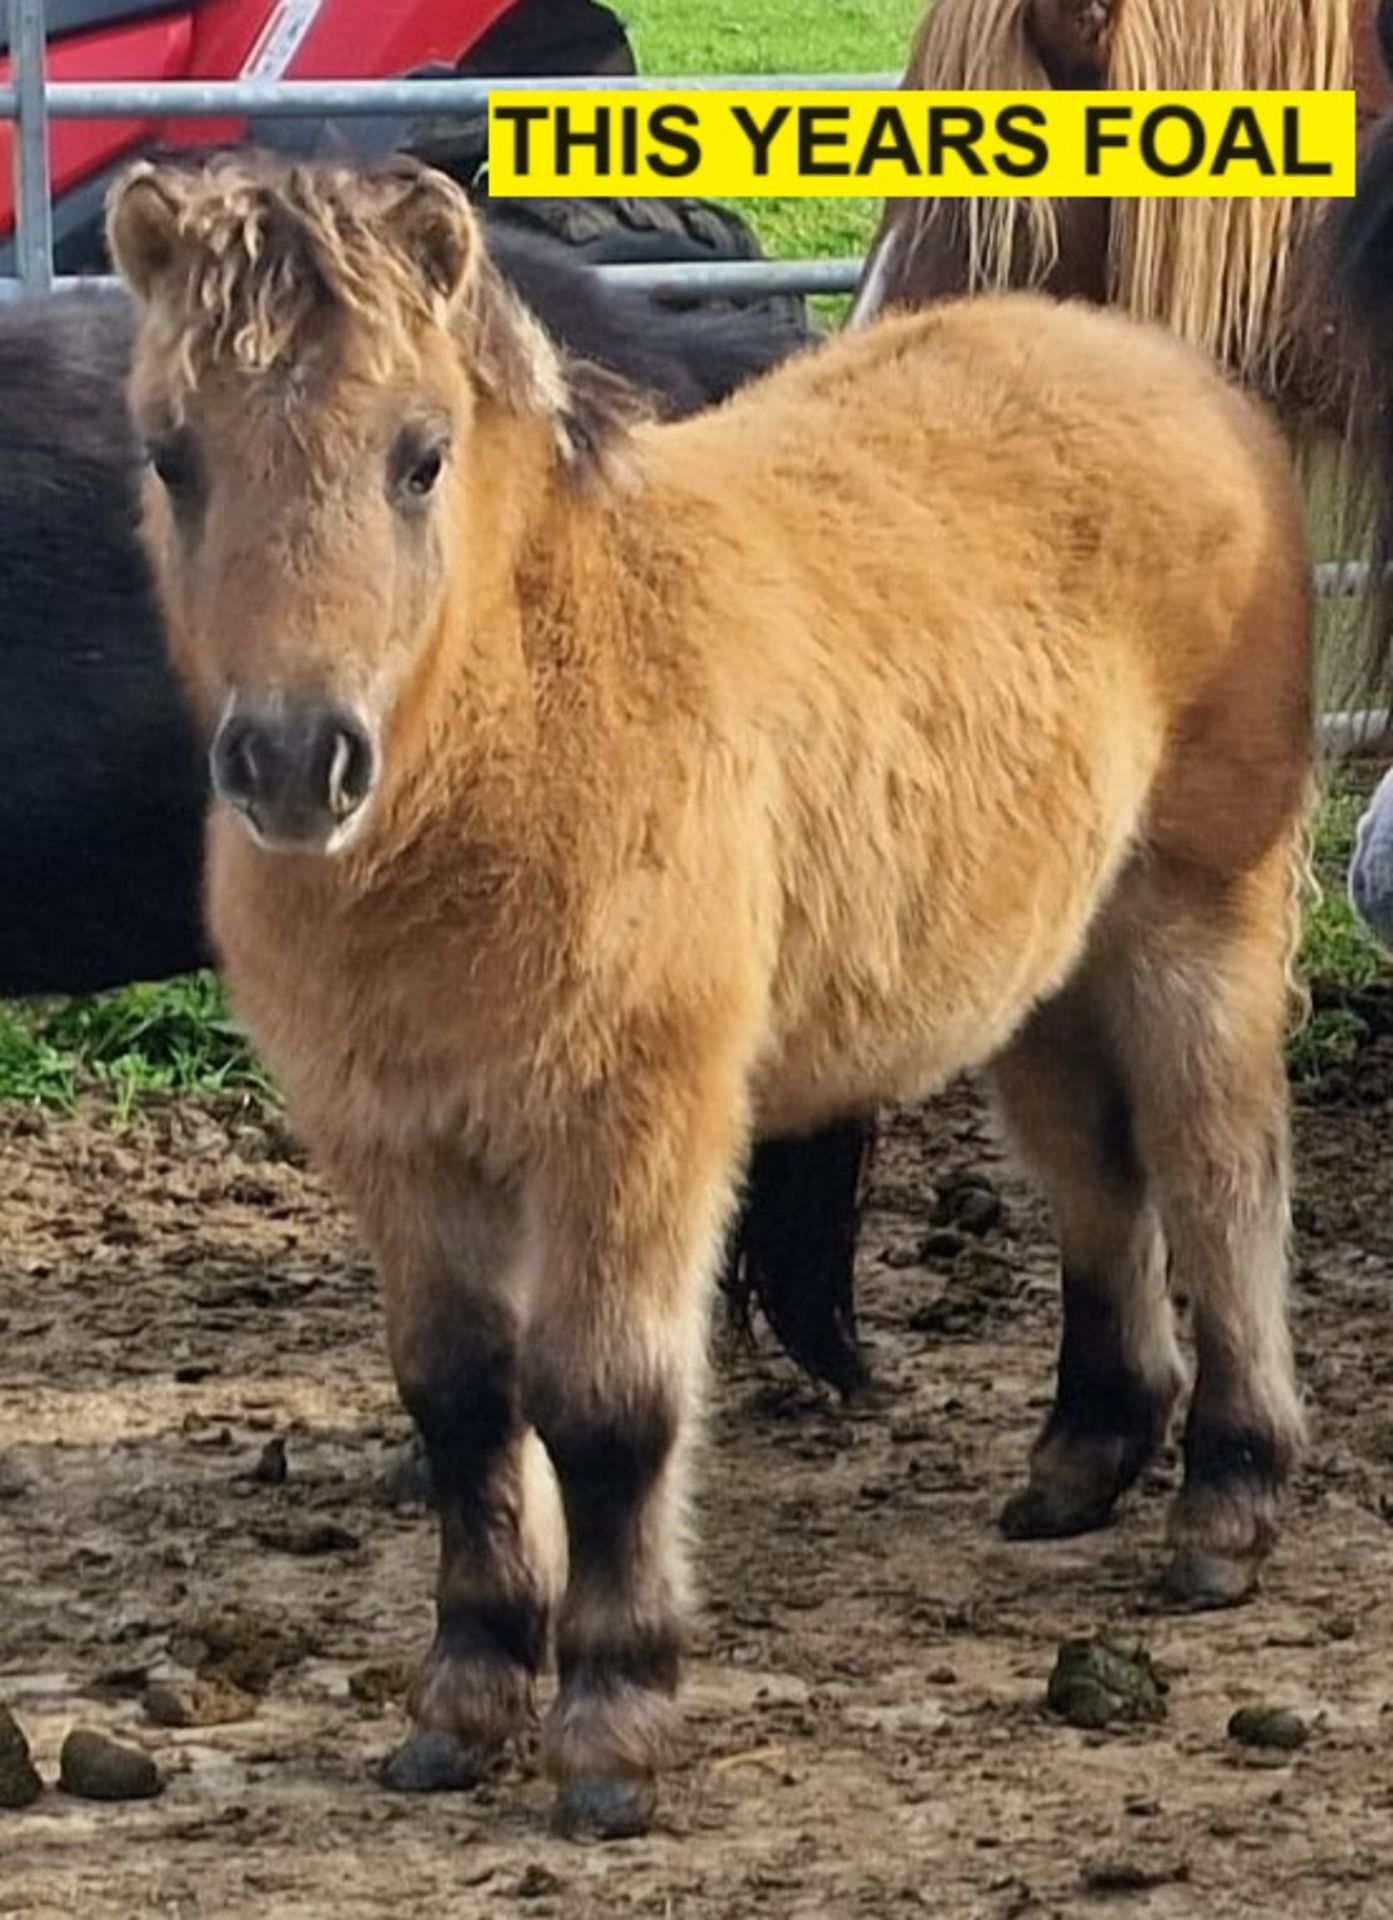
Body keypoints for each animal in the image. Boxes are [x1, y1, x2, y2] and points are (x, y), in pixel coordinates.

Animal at [111, 157, 1320, 1835]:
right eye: (174, 457)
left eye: (419, 458)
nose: (296, 762)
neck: (528, 725)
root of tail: (1162, 367)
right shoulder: (398, 1142)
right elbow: (460, 1402)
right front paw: (463, 1702)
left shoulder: (636, 1116)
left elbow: (607, 1408)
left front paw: (613, 1725)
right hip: (1035, 969)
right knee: (1096, 1174)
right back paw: (1084, 1455)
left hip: (1197, 912)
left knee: (1218, 1173)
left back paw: (1227, 1505)